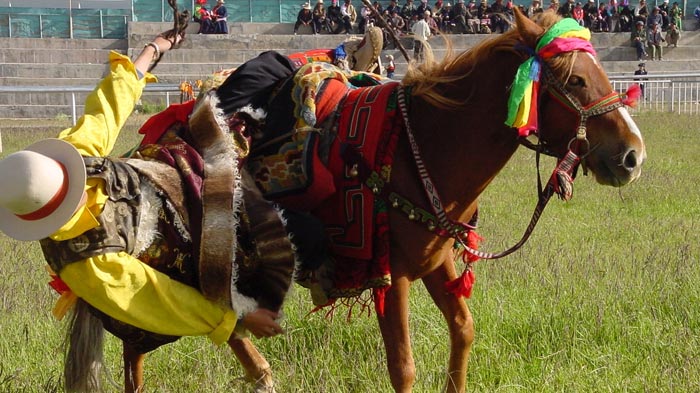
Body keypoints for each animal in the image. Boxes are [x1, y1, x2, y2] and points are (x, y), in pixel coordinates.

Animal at [116, 8, 644, 392]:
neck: (421, 145)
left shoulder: (435, 261)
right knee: (140, 333)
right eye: (574, 80)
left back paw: (262, 374)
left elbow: (463, 329)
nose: (632, 155)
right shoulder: (391, 273)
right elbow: (403, 365)